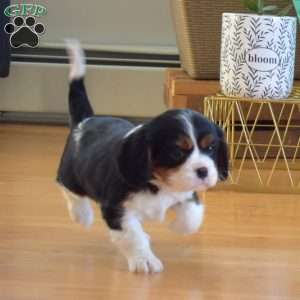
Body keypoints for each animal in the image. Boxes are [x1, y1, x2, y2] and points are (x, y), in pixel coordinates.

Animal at [57, 40, 229, 274]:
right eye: (176, 152)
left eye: (210, 148)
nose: (203, 171)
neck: (158, 183)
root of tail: (86, 120)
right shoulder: (117, 209)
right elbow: (133, 237)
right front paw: (144, 260)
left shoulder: (186, 193)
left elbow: (193, 215)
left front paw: (178, 226)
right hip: (70, 174)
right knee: (69, 190)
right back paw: (82, 215)